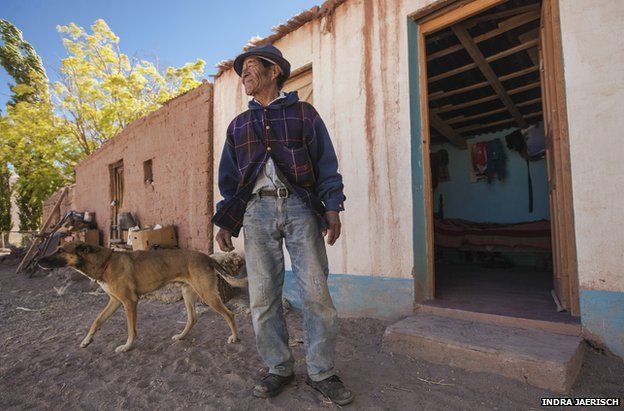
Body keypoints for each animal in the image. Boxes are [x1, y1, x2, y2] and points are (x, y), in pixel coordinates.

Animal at [37, 241, 247, 354]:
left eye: (61, 250)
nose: (38, 261)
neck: (105, 263)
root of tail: (207, 257)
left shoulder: (129, 301)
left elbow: (131, 329)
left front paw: (127, 347)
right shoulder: (114, 301)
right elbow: (97, 321)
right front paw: (87, 341)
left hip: (207, 295)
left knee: (229, 314)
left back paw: (235, 337)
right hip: (188, 293)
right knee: (193, 318)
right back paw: (181, 336)